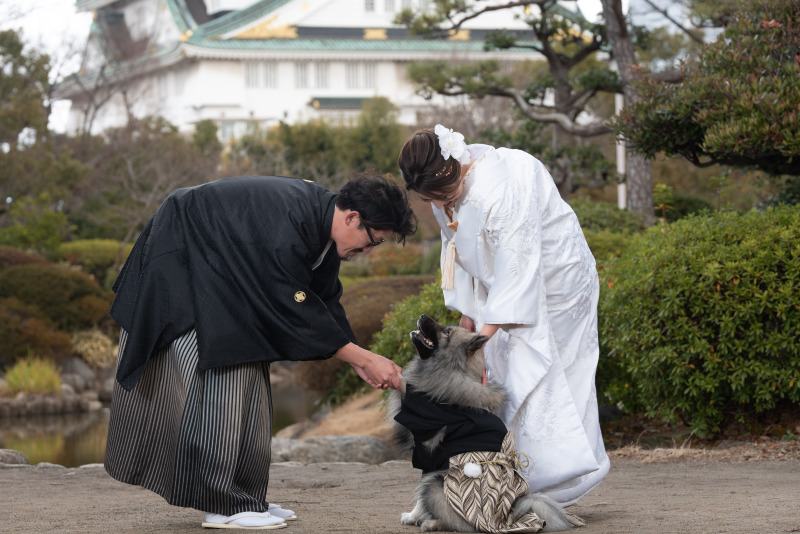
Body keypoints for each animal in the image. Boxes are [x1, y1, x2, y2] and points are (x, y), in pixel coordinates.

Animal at [384, 316, 584, 532]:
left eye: (446, 332)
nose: (422, 317)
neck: (452, 370)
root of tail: (505, 519)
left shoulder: (427, 456)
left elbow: (420, 496)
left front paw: (413, 516)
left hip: (435, 484)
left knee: (462, 524)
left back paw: (431, 523)